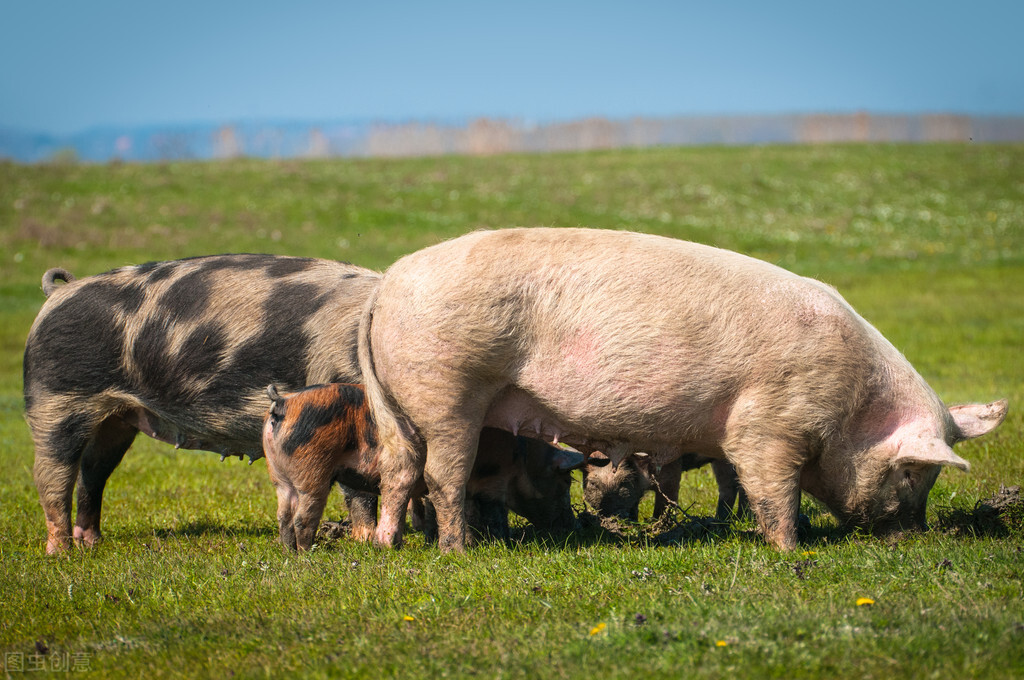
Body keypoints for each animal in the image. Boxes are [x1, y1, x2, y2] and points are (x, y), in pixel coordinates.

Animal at [24, 253, 385, 553]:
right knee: (52, 474)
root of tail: (58, 294)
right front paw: (367, 541)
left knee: (93, 471)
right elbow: (360, 490)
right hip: (55, 399)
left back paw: (91, 543)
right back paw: (61, 552)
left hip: (117, 418)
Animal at [262, 383, 585, 553]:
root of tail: (282, 404)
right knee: (303, 516)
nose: (572, 524)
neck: (522, 456)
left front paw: (435, 540)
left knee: (283, 515)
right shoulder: (494, 479)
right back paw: (309, 552)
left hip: (280, 478)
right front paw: (499, 542)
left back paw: (289, 551)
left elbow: (438, 510)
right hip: (312, 471)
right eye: (566, 482)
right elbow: (493, 513)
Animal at [585, 454, 753, 522]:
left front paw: (655, 523)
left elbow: (666, 500)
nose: (609, 512)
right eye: (592, 483)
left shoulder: (671, 468)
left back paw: (743, 519)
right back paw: (720, 519)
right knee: (728, 484)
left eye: (624, 482)